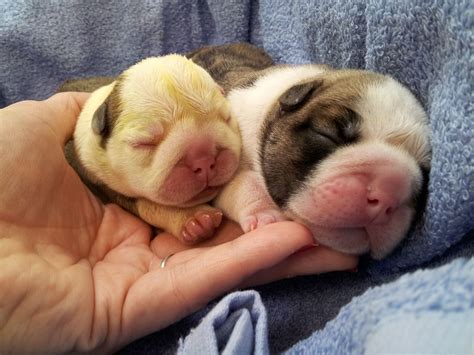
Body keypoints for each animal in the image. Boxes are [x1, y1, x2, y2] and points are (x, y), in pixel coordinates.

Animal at [61, 55, 241, 245]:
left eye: (226, 117)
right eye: (145, 143)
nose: (204, 160)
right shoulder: (102, 183)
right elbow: (148, 205)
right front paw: (194, 218)